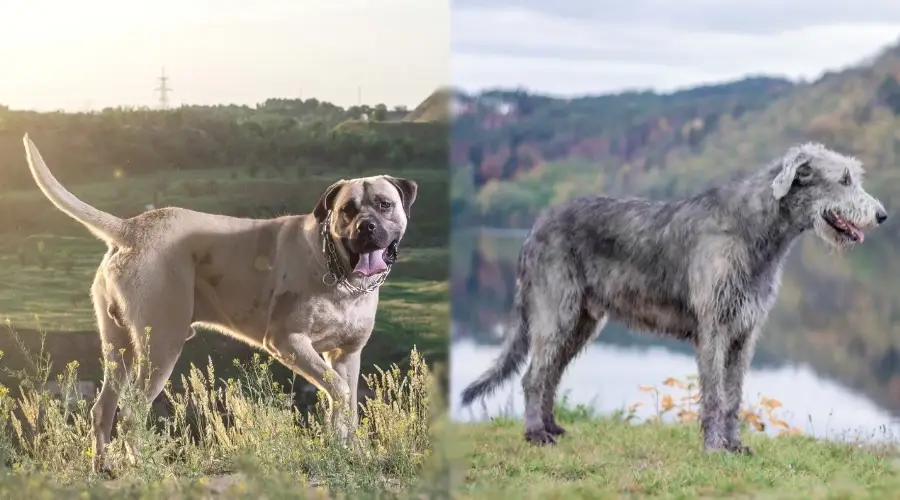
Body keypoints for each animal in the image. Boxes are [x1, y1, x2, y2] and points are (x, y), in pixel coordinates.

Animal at [18, 135, 418, 474]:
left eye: (384, 204)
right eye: (347, 210)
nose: (366, 227)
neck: (339, 272)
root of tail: (131, 228)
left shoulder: (347, 354)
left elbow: (349, 403)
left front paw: (354, 452)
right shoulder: (288, 341)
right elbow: (338, 391)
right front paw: (337, 444)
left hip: (119, 347)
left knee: (103, 409)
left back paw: (102, 468)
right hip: (161, 344)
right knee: (131, 411)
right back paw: (144, 467)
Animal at [464, 144, 884, 454]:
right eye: (844, 179)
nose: (881, 215)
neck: (753, 230)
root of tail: (534, 227)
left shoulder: (744, 333)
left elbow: (734, 395)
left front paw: (735, 445)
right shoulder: (714, 328)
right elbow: (715, 395)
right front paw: (714, 448)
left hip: (581, 322)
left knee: (550, 374)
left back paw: (552, 426)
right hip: (556, 311)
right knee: (534, 376)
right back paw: (536, 434)